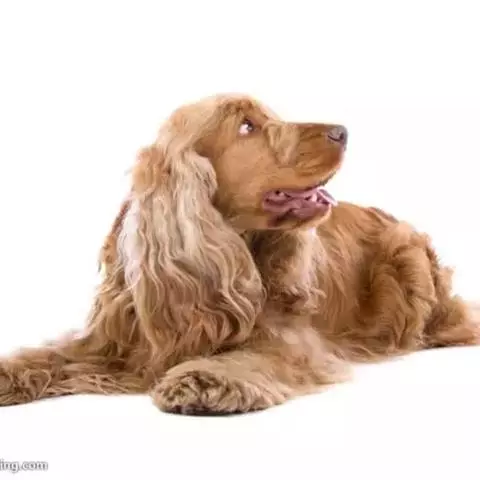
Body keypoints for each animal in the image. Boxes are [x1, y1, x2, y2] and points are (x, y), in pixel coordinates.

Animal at [1, 93, 478, 414]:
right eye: (247, 127)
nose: (343, 131)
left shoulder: (293, 342)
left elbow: (250, 356)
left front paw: (204, 378)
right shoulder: (113, 338)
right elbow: (52, 353)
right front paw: (9, 371)